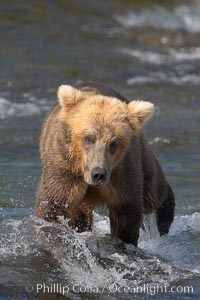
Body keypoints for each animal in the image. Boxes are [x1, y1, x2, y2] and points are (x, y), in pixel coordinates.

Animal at [36, 81, 175, 246]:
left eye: (113, 143)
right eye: (88, 138)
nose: (98, 174)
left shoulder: (122, 171)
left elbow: (126, 211)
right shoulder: (64, 165)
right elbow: (54, 205)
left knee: (153, 191)